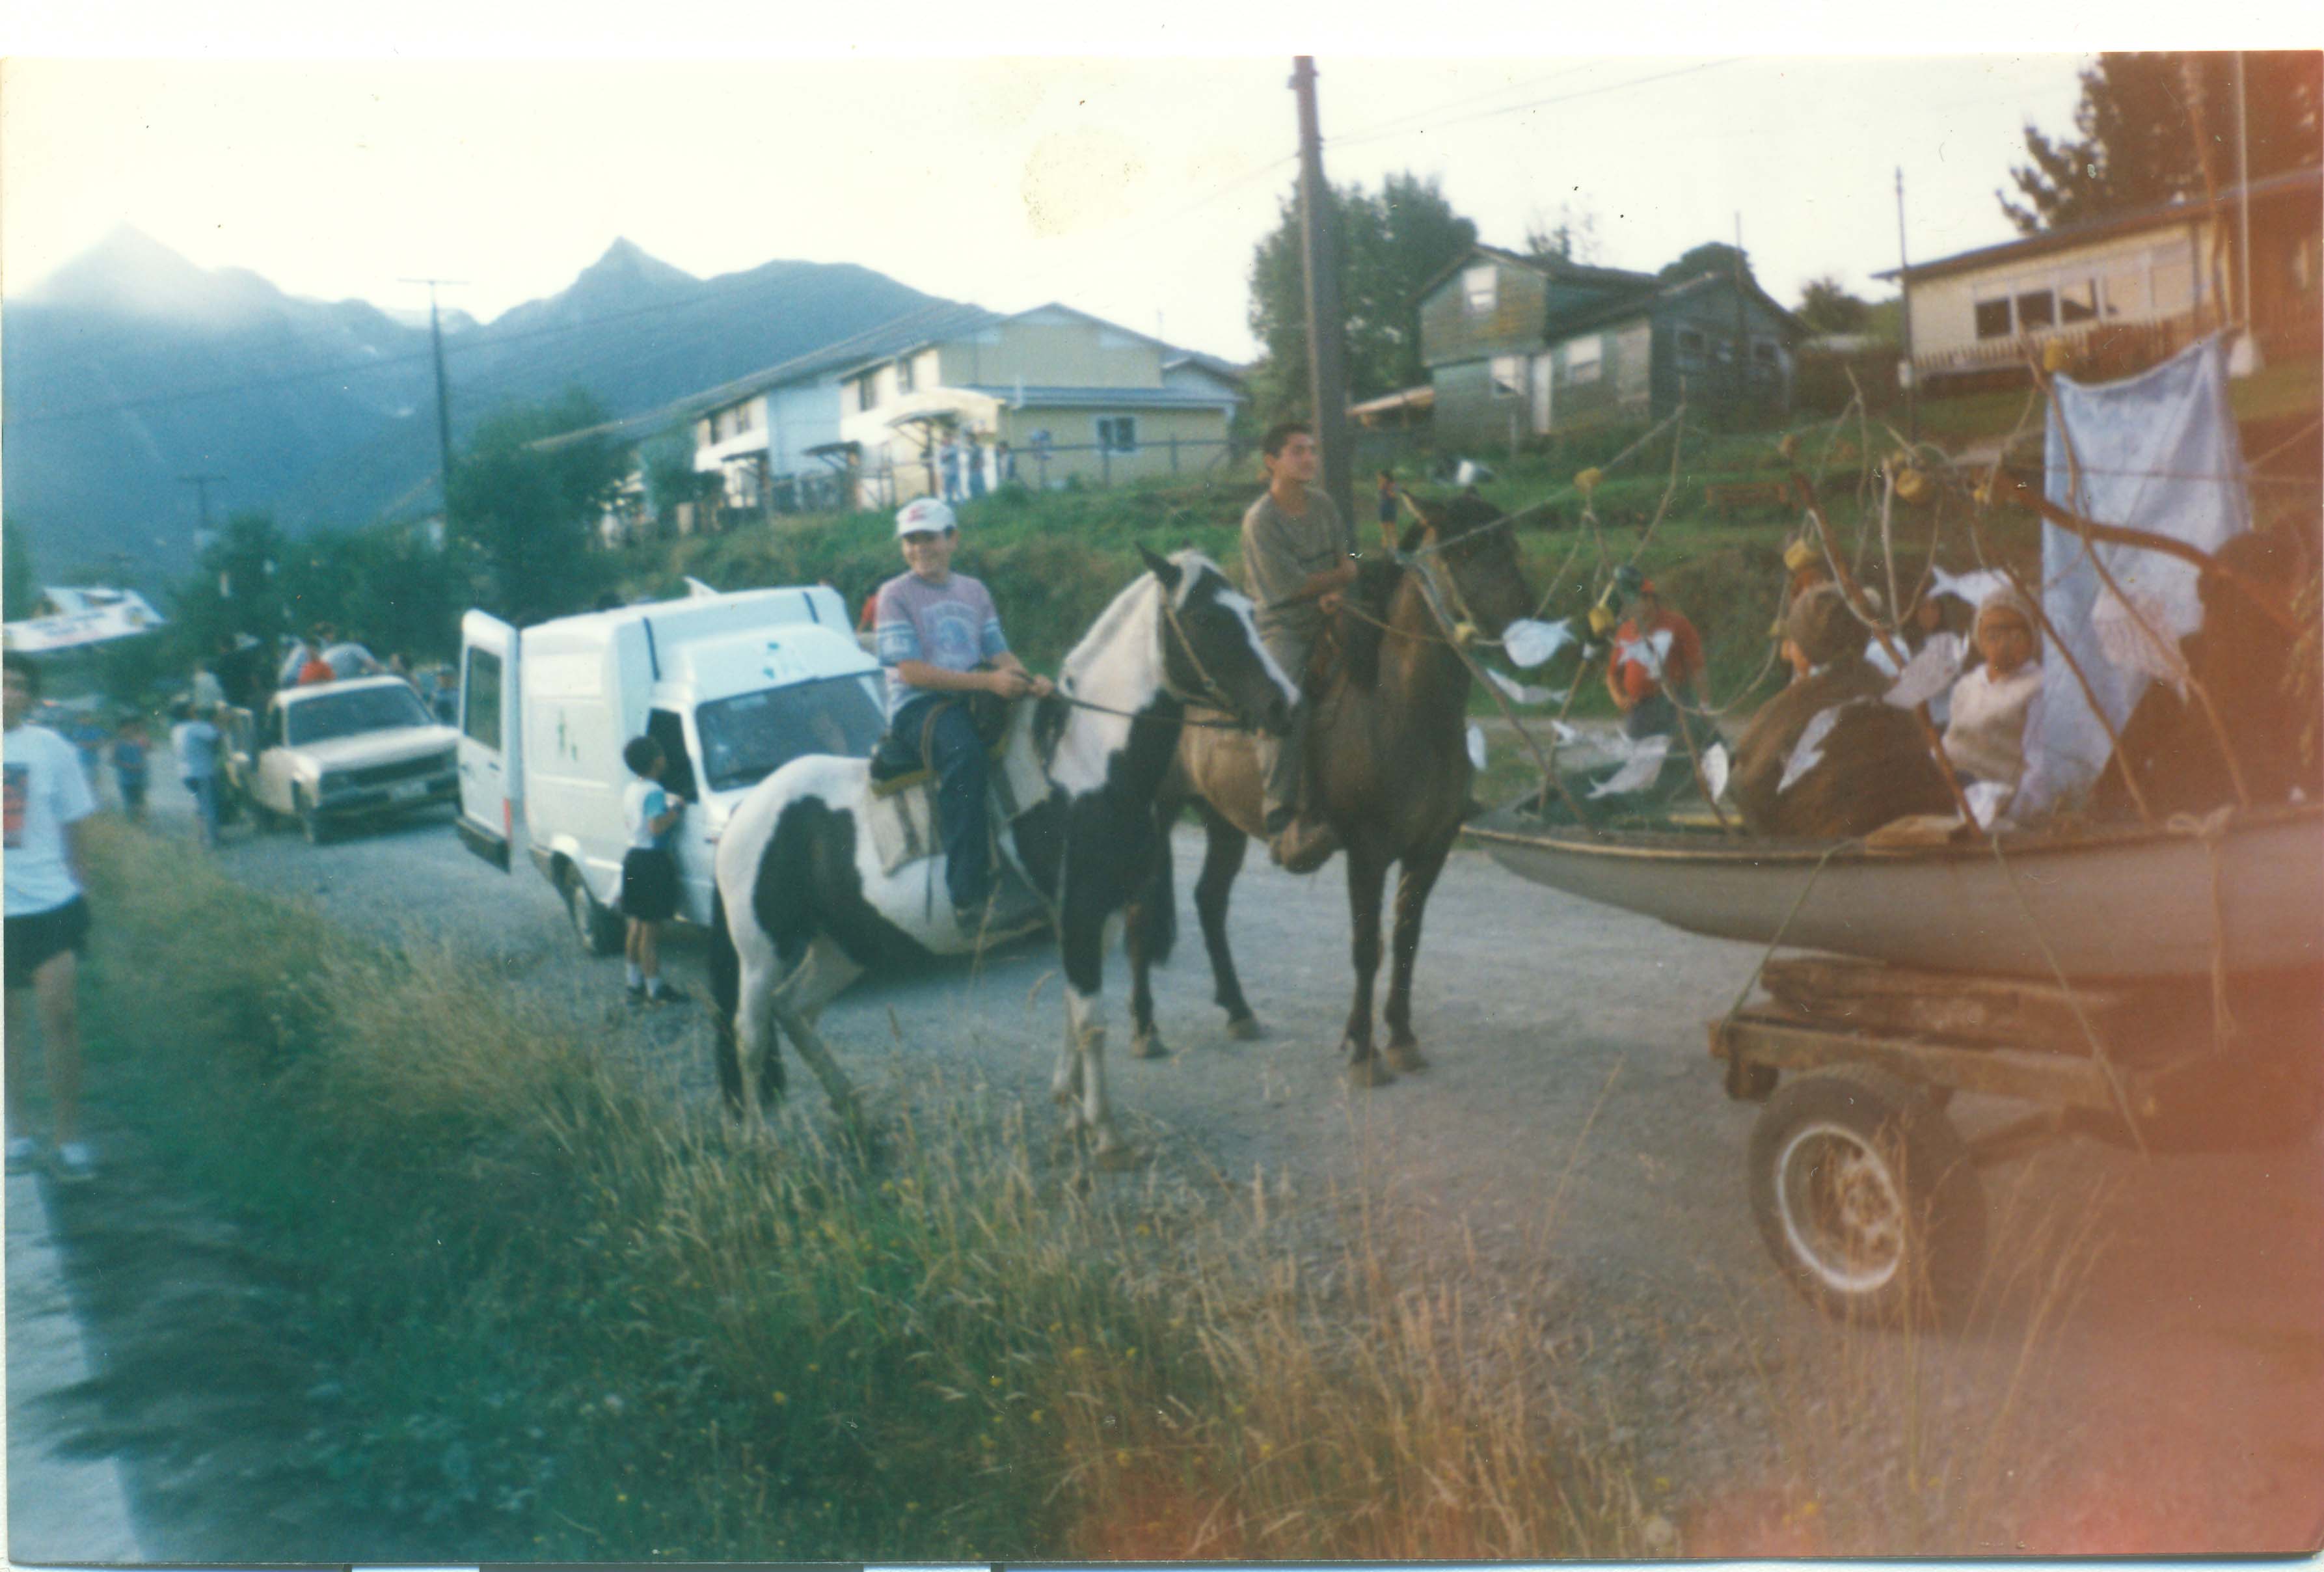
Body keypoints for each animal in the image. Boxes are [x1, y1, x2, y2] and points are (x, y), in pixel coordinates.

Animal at [697, 546, 1301, 1162]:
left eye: (1249, 610)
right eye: (1205, 619)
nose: (1285, 705)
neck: (1084, 765)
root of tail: (746, 813)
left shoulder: (1097, 916)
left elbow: (1071, 1013)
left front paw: (1071, 1114)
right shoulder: (1080, 913)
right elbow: (1091, 1023)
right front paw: (1106, 1135)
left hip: (843, 944)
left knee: (794, 1011)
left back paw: (855, 1116)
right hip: (762, 951)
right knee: (751, 1032)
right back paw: (760, 1144)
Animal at [1129, 491, 1543, 1079]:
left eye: (1507, 541)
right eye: (1464, 551)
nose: (1528, 629)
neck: (1400, 707)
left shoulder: (1431, 845)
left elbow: (1407, 937)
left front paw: (1402, 1037)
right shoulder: (1367, 850)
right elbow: (1367, 947)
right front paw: (1365, 1052)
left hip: (1221, 821)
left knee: (1210, 900)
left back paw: (1239, 1011)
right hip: (1155, 814)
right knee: (1140, 913)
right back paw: (1145, 1028)